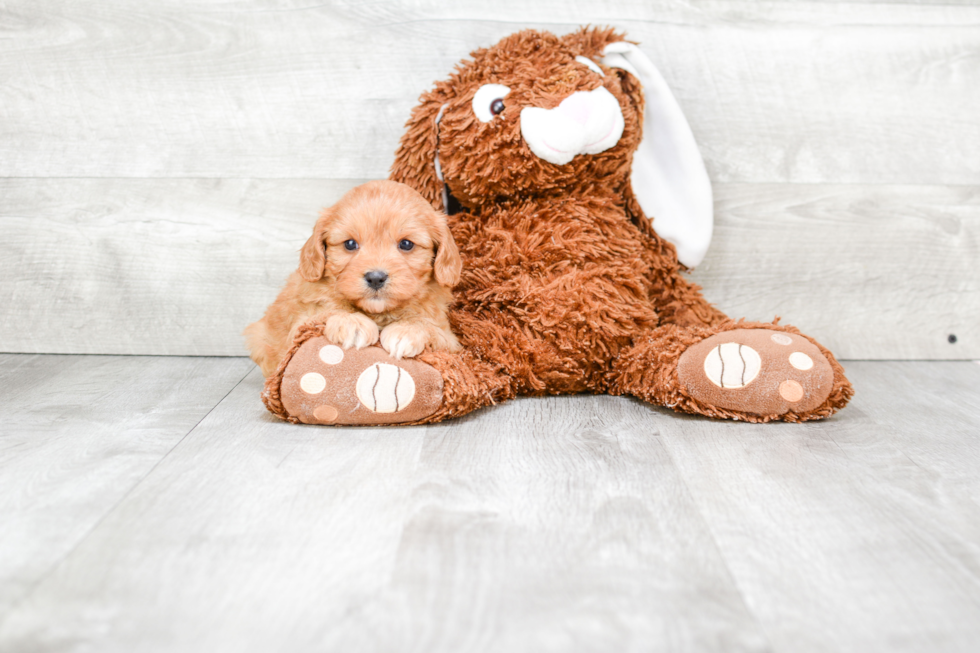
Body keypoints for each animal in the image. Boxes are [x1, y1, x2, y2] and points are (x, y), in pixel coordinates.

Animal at [243, 178, 462, 376]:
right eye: (350, 244)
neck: (378, 313)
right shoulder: (300, 324)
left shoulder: (450, 339)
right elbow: (325, 311)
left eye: (406, 244)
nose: (376, 278)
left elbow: (430, 326)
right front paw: (351, 322)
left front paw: (406, 331)